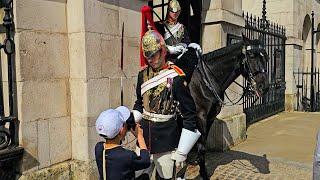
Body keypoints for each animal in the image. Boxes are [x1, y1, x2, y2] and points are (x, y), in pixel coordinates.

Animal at [176, 34, 268, 179]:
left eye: (266, 57)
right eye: (251, 56)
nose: (264, 87)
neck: (205, 81)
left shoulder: (210, 117)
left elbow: (202, 146)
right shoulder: (199, 117)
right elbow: (200, 146)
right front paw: (202, 173)